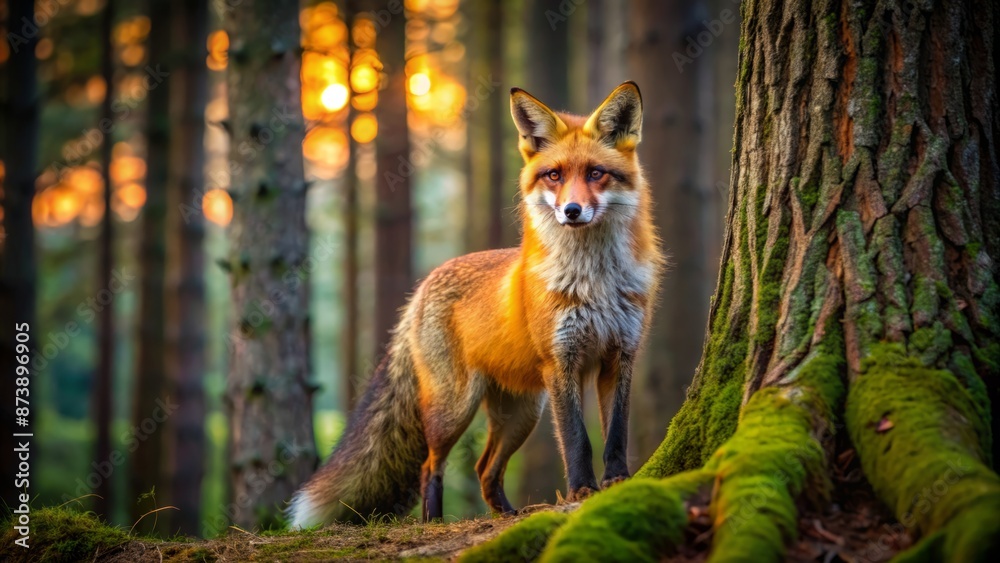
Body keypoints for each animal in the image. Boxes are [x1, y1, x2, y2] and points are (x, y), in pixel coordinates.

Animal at [288, 81, 663, 527]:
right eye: (554, 175)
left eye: (595, 173)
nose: (572, 211)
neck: (594, 281)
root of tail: (424, 286)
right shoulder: (562, 362)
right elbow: (577, 439)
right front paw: (582, 491)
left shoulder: (620, 355)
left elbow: (616, 433)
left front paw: (619, 481)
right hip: (456, 408)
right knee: (430, 467)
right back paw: (433, 521)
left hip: (522, 413)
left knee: (485, 470)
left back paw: (508, 515)